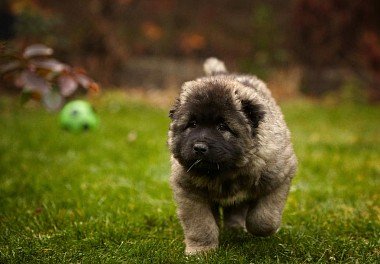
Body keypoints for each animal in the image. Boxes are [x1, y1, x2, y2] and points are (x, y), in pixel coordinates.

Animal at [168, 58, 296, 256]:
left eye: (222, 127)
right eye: (192, 124)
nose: (199, 147)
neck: (225, 171)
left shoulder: (279, 179)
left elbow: (264, 217)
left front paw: (259, 229)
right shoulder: (189, 191)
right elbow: (200, 225)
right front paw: (201, 250)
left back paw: (237, 229)